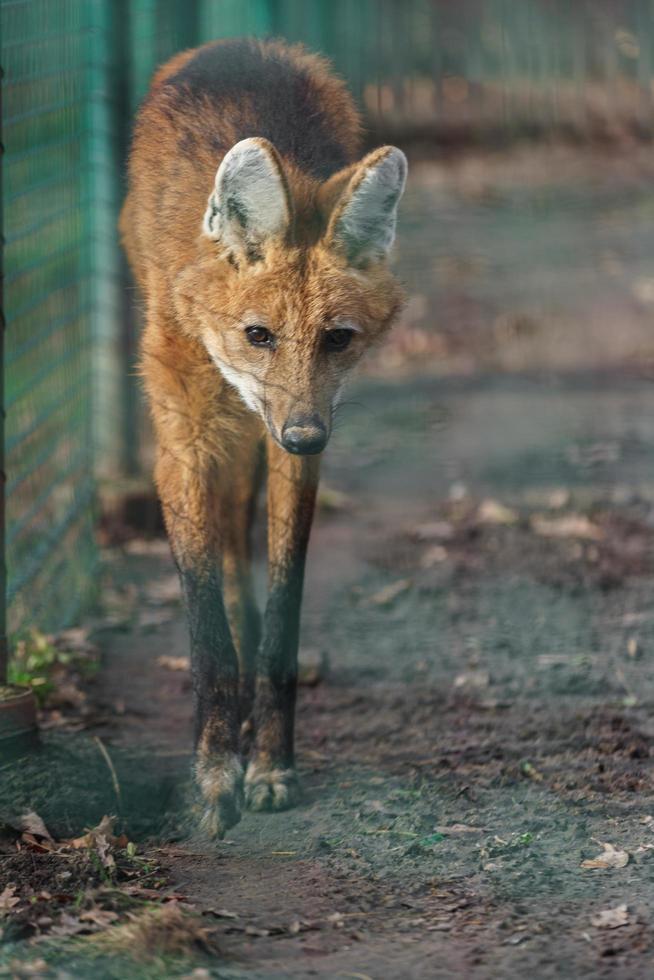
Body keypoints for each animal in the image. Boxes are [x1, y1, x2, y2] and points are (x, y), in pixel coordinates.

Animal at [120, 38, 408, 836]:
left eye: (338, 339)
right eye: (260, 335)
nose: (306, 434)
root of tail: (239, 45)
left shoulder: (291, 453)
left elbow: (282, 608)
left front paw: (271, 764)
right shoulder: (183, 445)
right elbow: (205, 626)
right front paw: (216, 773)